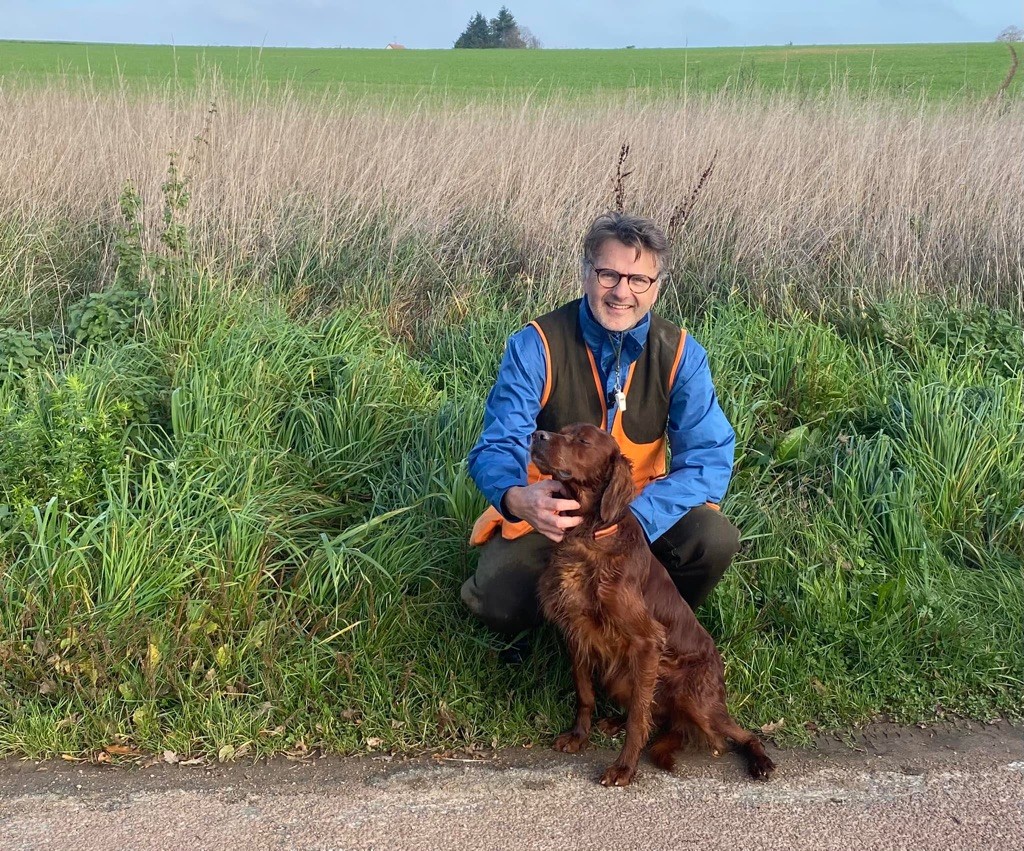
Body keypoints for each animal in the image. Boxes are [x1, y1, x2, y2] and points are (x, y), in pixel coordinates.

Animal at [532, 421, 770, 790]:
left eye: (583, 440)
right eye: (560, 429)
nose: (536, 435)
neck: (588, 536)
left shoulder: (646, 642)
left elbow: (638, 718)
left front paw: (624, 767)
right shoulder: (577, 632)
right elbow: (585, 695)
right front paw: (578, 736)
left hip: (693, 696)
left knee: (741, 733)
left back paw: (760, 761)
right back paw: (612, 722)